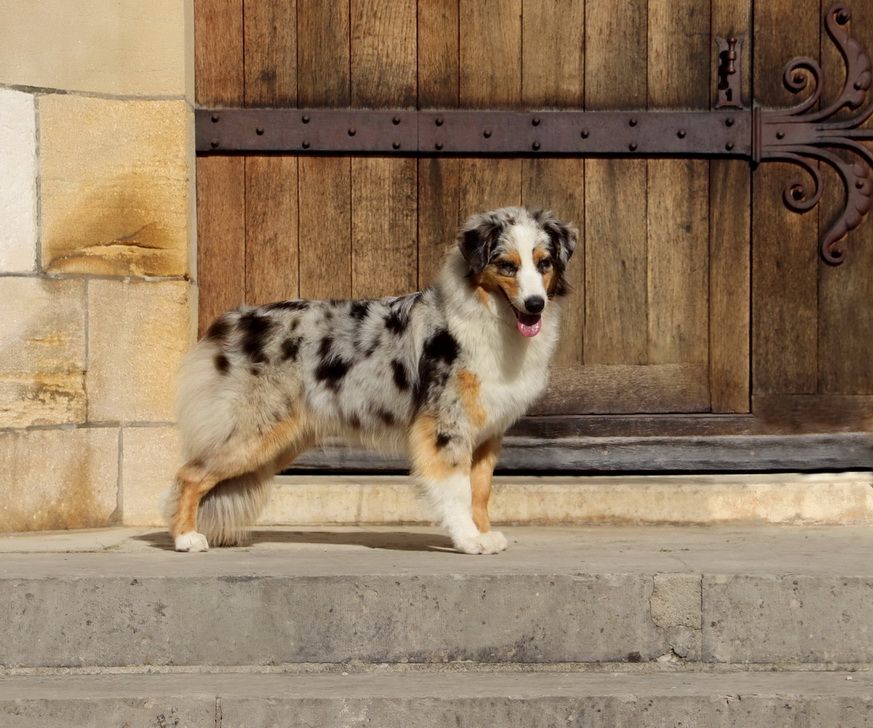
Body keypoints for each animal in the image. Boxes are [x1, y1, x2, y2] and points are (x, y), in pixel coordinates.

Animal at [166, 208, 580, 556]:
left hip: (280, 440)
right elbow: (457, 491)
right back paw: (186, 538)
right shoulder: (445, 429)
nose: (535, 304)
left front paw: (484, 534)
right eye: (507, 266)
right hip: (253, 432)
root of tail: (227, 325)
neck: (490, 317)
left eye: (543, 263)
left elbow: (480, 492)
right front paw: (467, 540)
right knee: (189, 473)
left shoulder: (487, 434)